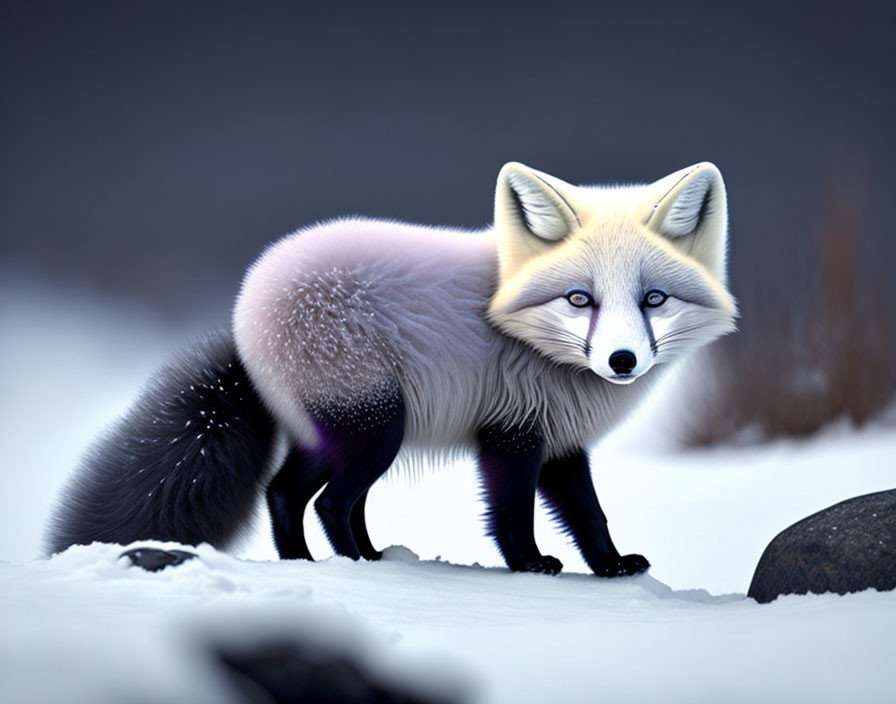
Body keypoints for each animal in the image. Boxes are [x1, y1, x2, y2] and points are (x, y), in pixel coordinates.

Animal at [45, 162, 740, 576]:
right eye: (579, 299)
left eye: (654, 299)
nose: (622, 361)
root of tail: (248, 311)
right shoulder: (512, 432)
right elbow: (511, 515)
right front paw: (530, 565)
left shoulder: (561, 441)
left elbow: (591, 517)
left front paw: (612, 566)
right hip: (375, 425)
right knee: (327, 501)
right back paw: (350, 565)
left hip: (343, 432)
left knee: (292, 494)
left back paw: (335, 561)